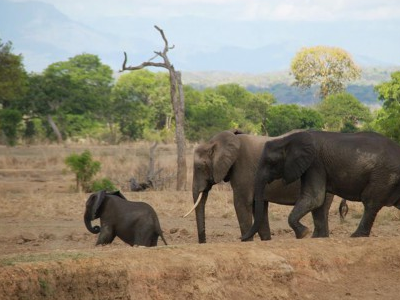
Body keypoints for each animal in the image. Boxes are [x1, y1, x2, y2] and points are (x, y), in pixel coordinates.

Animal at [186, 130, 336, 243]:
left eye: (199, 167)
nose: (203, 242)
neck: (214, 143)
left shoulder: (243, 169)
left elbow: (241, 204)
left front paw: (247, 241)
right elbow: (260, 208)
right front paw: (266, 241)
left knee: (320, 209)